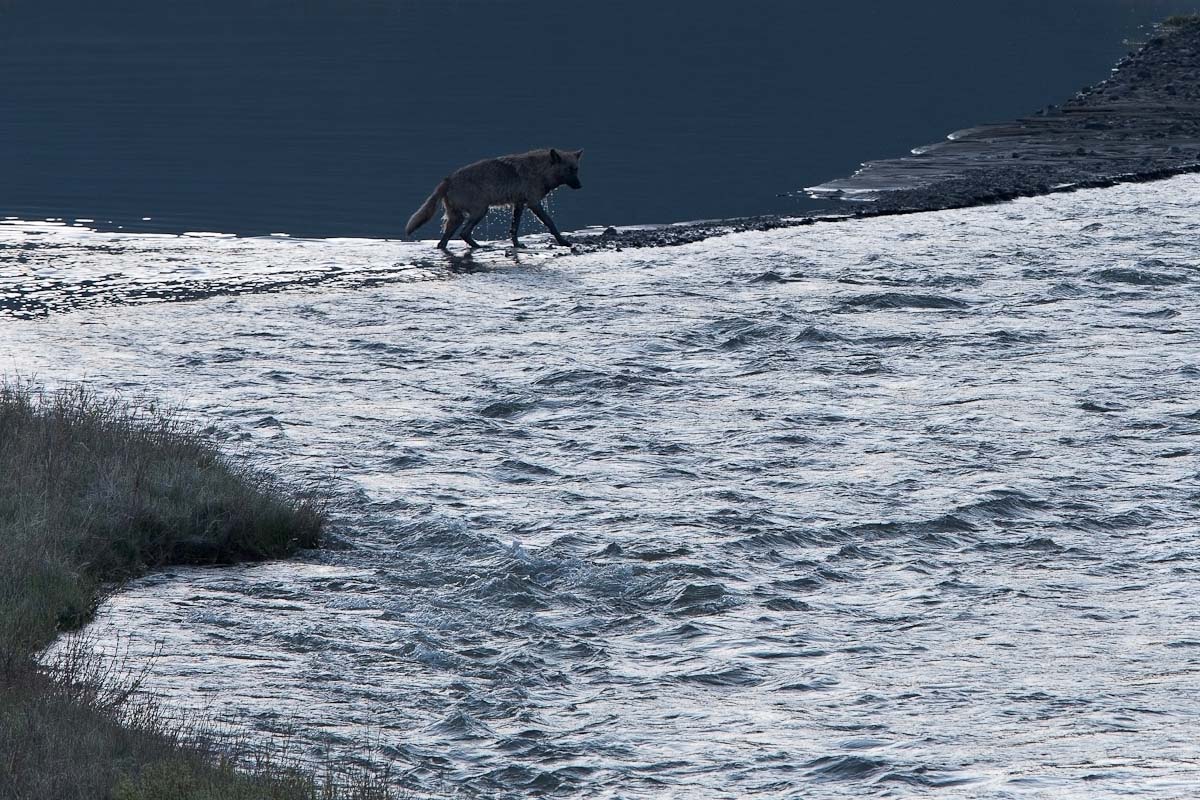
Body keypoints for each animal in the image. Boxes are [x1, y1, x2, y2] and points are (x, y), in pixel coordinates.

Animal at [405, 148, 583, 249]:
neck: (541, 170)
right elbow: (550, 223)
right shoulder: (534, 203)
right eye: (570, 170)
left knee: (443, 242)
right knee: (464, 233)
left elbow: (514, 228)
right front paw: (564, 242)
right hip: (480, 212)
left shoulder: (519, 204)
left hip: (458, 218)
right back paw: (481, 247)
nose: (580, 186)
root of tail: (447, 180)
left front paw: (517, 245)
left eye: (576, 169)